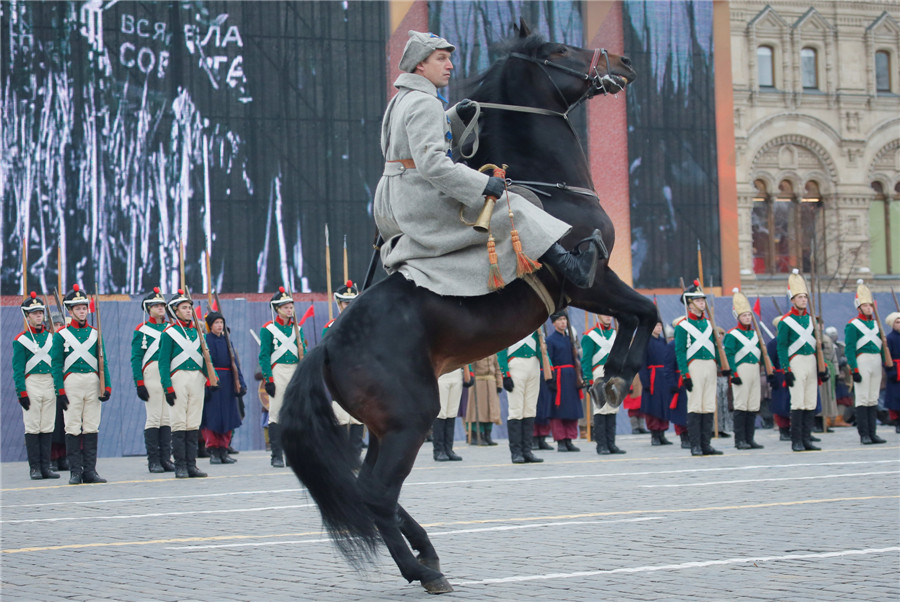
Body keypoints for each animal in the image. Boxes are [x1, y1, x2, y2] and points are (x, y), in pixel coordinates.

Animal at [278, 22, 656, 592]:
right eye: (558, 50)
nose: (624, 62)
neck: (553, 187)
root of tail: (324, 347)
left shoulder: (598, 289)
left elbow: (637, 316)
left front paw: (611, 377)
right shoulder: (593, 284)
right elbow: (647, 311)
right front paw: (614, 378)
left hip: (385, 428)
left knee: (368, 492)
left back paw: (428, 555)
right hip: (412, 419)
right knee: (375, 495)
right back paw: (422, 568)